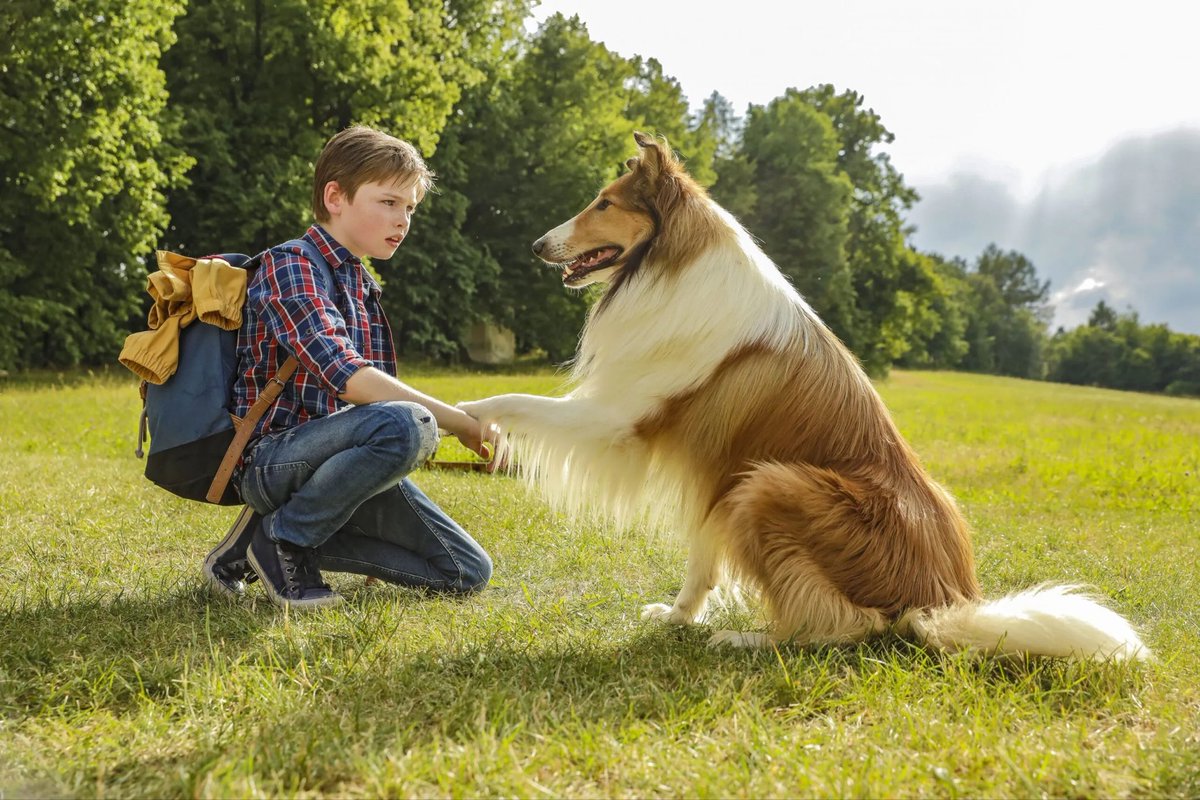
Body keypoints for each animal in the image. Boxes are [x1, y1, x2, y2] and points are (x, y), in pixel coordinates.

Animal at [453, 130, 1147, 657]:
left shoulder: (620, 419)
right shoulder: (715, 475)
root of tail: (943, 600)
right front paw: (677, 618)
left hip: (769, 485)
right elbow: (700, 562)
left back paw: (747, 640)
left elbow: (514, 402)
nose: (535, 245)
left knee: (846, 627)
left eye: (603, 203)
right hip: (762, 487)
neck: (671, 266)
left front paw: (461, 414)